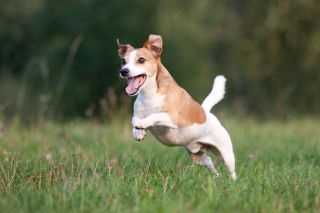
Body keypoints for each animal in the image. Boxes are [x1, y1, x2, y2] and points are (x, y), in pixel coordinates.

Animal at [118, 34, 238, 180]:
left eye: (141, 60)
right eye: (123, 61)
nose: (124, 71)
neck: (149, 95)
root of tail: (206, 112)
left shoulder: (171, 118)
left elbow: (154, 116)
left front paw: (142, 124)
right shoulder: (138, 113)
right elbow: (134, 119)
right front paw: (138, 132)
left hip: (226, 155)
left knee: (231, 171)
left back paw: (233, 182)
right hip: (197, 157)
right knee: (209, 162)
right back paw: (216, 177)